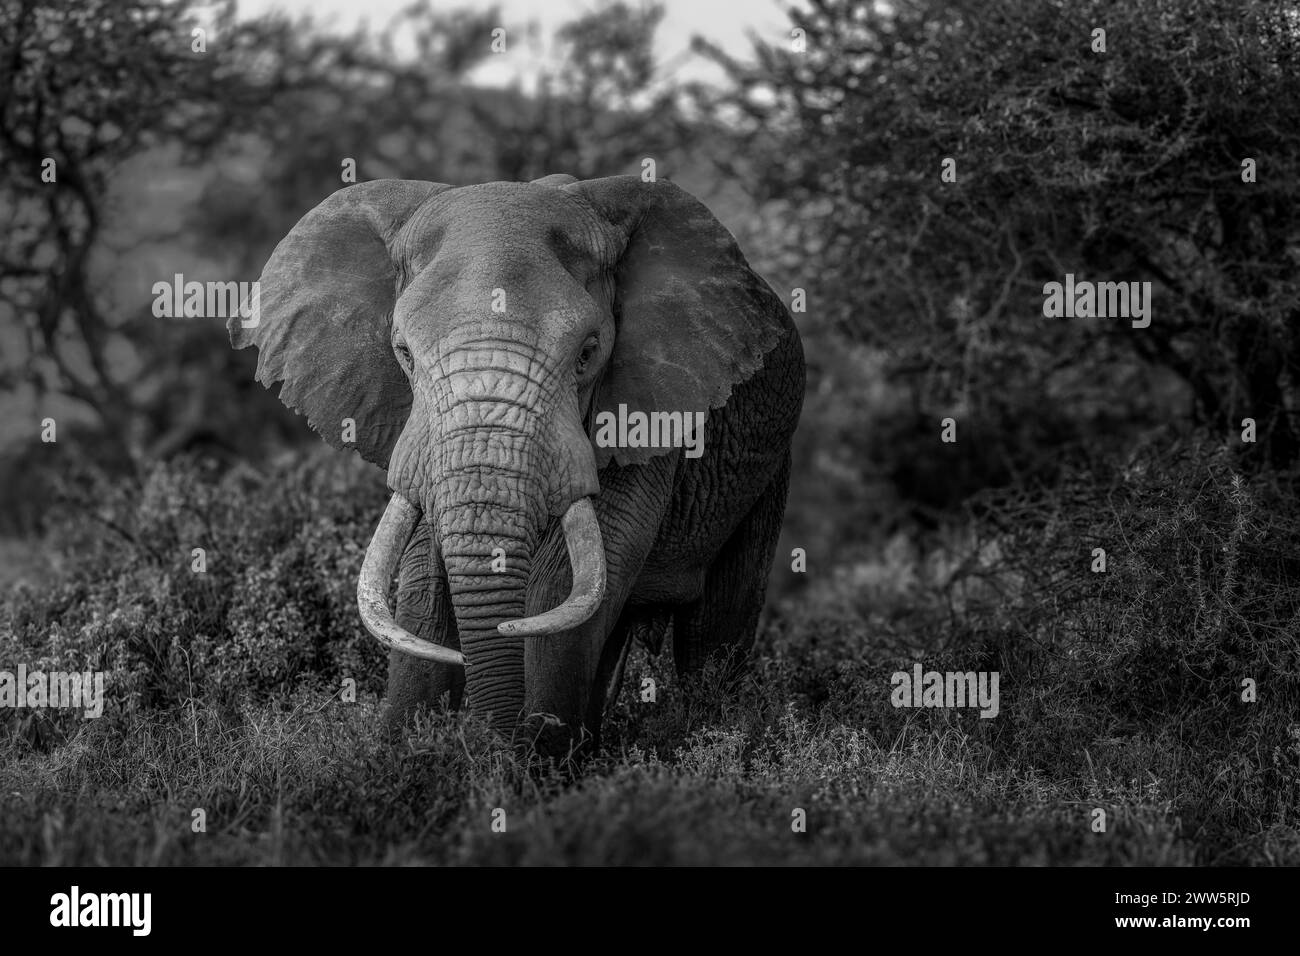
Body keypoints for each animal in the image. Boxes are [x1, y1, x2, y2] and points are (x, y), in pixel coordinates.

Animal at [231, 171, 800, 754]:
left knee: (718, 630)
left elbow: (564, 580)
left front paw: (536, 760)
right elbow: (425, 580)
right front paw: (405, 753)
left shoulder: (648, 408)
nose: (490, 743)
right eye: (404, 353)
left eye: (588, 353)